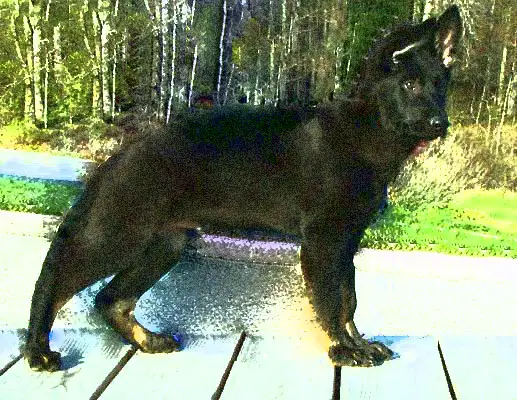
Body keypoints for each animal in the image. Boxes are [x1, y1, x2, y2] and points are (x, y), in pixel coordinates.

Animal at [24, 5, 462, 371]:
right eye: (409, 85)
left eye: (440, 85)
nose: (440, 124)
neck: (368, 131)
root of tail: (119, 156)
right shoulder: (323, 242)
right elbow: (330, 300)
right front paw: (343, 350)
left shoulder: (346, 242)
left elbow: (348, 299)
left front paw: (359, 344)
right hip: (120, 235)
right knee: (55, 278)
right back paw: (37, 351)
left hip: (167, 243)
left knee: (110, 299)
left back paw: (148, 341)